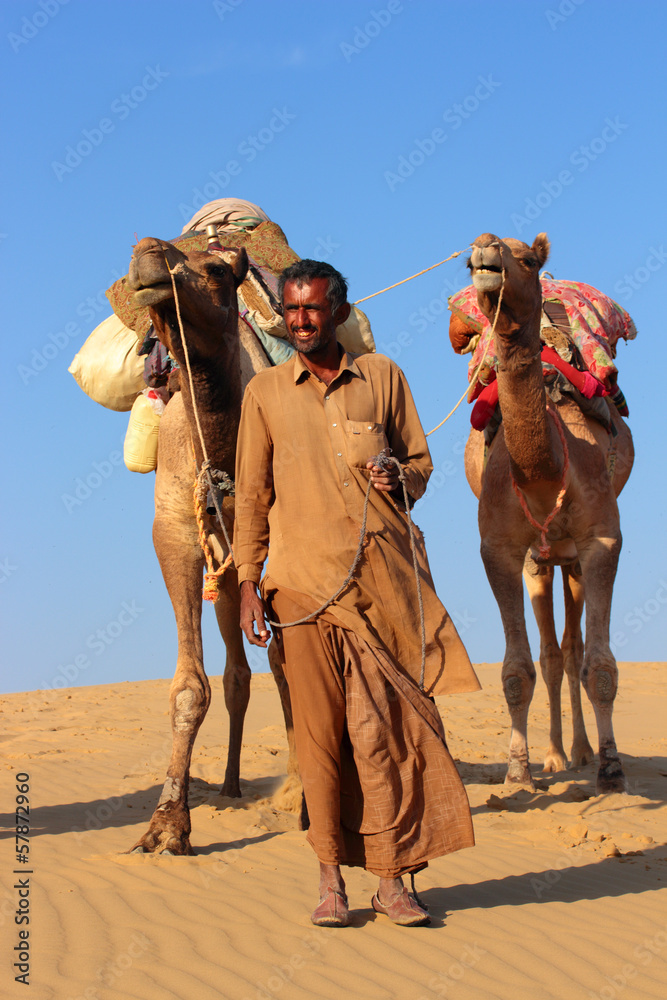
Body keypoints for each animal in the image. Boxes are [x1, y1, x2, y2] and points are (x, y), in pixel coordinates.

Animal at [127, 236, 298, 852]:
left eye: (218, 272)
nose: (146, 254)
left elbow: (287, 659)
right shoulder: (174, 532)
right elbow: (188, 687)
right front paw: (166, 825)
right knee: (235, 672)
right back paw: (225, 786)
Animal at [454, 232, 636, 788]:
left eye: (530, 260)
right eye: (468, 261)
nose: (485, 250)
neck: (546, 473)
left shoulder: (602, 541)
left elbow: (600, 665)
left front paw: (612, 766)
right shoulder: (499, 549)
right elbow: (517, 670)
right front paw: (518, 772)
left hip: (570, 559)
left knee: (574, 650)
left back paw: (581, 752)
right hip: (542, 560)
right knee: (553, 653)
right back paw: (555, 756)